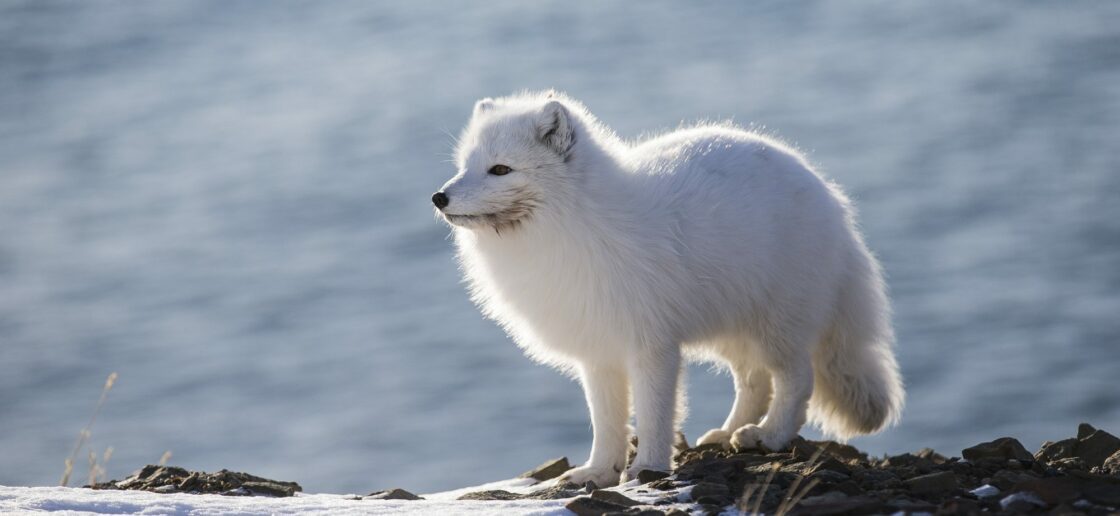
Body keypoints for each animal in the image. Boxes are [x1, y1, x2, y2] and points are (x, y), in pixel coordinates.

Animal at [432, 92, 904, 485]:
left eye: (500, 169)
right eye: (464, 165)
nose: (439, 198)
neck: (574, 227)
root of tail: (832, 199)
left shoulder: (652, 345)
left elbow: (653, 415)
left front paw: (648, 469)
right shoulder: (598, 351)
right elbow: (606, 422)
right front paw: (598, 472)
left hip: (778, 323)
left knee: (796, 380)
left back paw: (767, 436)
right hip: (734, 329)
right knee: (754, 381)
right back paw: (727, 433)